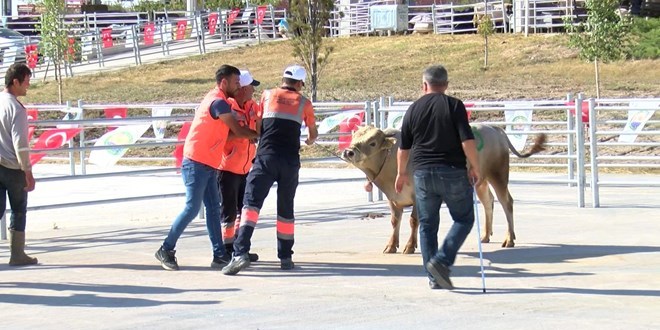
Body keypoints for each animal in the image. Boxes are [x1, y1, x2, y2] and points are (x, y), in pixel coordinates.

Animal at [340, 124, 548, 253]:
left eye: (372, 142)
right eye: (354, 136)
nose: (348, 152)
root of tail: (494, 128)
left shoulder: (417, 195)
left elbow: (414, 221)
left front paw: (410, 246)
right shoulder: (393, 197)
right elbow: (394, 221)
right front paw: (391, 246)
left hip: (498, 174)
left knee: (507, 203)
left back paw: (509, 239)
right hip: (480, 181)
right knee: (488, 202)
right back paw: (485, 236)